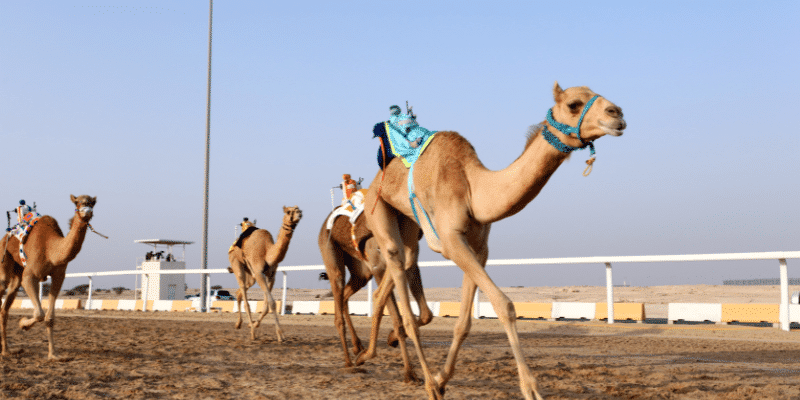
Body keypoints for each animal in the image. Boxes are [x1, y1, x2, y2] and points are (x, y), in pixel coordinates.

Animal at [1, 194, 98, 360]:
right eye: (77, 202)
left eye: (92, 203)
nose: (87, 211)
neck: (51, 249)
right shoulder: (30, 275)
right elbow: (39, 314)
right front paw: (23, 324)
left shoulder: (59, 276)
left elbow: (49, 317)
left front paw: (54, 355)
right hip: (4, 259)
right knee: (3, 284)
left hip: (17, 273)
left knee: (5, 308)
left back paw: (7, 351)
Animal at [228, 206, 302, 341]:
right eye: (289, 211)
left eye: (299, 209)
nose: (299, 214)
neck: (267, 251)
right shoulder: (259, 273)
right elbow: (272, 303)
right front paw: (279, 335)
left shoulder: (271, 275)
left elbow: (267, 305)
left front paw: (257, 325)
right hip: (236, 263)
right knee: (244, 295)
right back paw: (252, 333)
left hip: (250, 275)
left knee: (239, 292)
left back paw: (239, 324)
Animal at [318, 209, 433, 381]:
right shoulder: (379, 267)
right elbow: (396, 318)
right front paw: (409, 372)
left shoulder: (409, 263)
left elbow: (426, 315)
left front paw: (392, 340)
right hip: (333, 257)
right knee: (338, 309)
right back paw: (349, 362)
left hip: (361, 273)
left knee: (345, 296)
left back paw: (357, 346)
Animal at [358, 82, 627, 399]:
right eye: (574, 104)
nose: (617, 114)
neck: (474, 190)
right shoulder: (452, 241)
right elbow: (504, 305)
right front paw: (531, 389)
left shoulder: (479, 248)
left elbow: (463, 323)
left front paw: (442, 378)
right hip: (377, 208)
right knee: (397, 268)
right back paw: (419, 380)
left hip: (409, 222)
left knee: (397, 269)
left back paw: (370, 355)